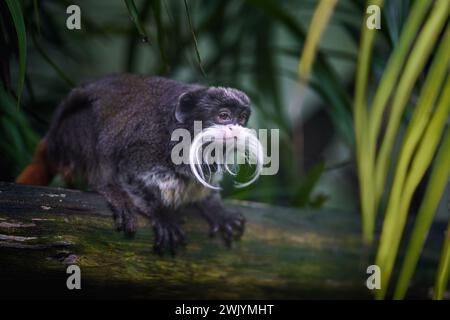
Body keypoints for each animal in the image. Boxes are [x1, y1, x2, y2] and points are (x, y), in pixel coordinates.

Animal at [16, 74, 264, 254]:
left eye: (241, 119)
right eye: (223, 116)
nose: (236, 130)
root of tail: (50, 139)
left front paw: (215, 209)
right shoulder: (145, 144)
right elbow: (131, 175)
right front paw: (161, 213)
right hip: (67, 133)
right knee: (90, 128)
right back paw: (109, 188)